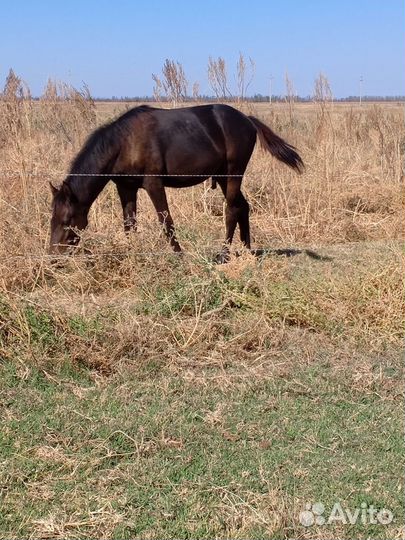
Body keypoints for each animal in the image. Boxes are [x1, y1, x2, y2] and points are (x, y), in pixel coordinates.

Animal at [49, 102, 304, 262]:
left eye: (67, 220)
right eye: (52, 219)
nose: (54, 257)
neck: (123, 142)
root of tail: (247, 120)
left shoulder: (153, 184)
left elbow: (166, 222)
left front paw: (179, 256)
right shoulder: (126, 187)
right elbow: (129, 223)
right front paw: (131, 253)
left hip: (233, 174)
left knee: (231, 210)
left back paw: (223, 254)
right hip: (223, 177)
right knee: (243, 207)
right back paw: (247, 249)